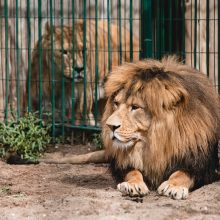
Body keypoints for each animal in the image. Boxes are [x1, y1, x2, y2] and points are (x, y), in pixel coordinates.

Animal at [101, 56, 220, 199]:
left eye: (135, 107)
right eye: (116, 103)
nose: (110, 126)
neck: (153, 143)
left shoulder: (201, 166)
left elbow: (182, 173)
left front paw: (173, 186)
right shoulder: (123, 165)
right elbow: (132, 172)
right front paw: (132, 184)